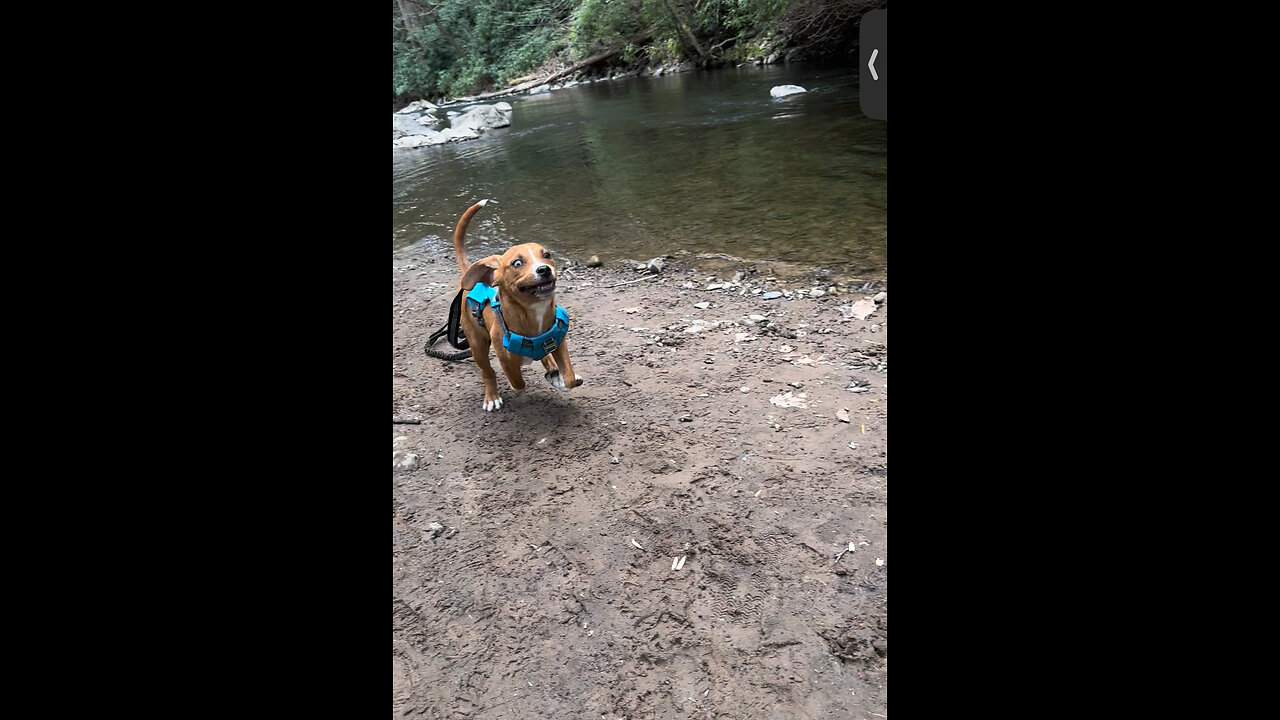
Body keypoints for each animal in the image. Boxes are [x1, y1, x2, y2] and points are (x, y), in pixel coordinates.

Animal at [450, 198, 581, 409]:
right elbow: (517, 381)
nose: (544, 269)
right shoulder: (504, 358)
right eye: (517, 263)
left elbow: (568, 376)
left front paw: (559, 379)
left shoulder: (559, 342)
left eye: (547, 254)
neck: (534, 313)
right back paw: (491, 396)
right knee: (487, 372)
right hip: (477, 345)